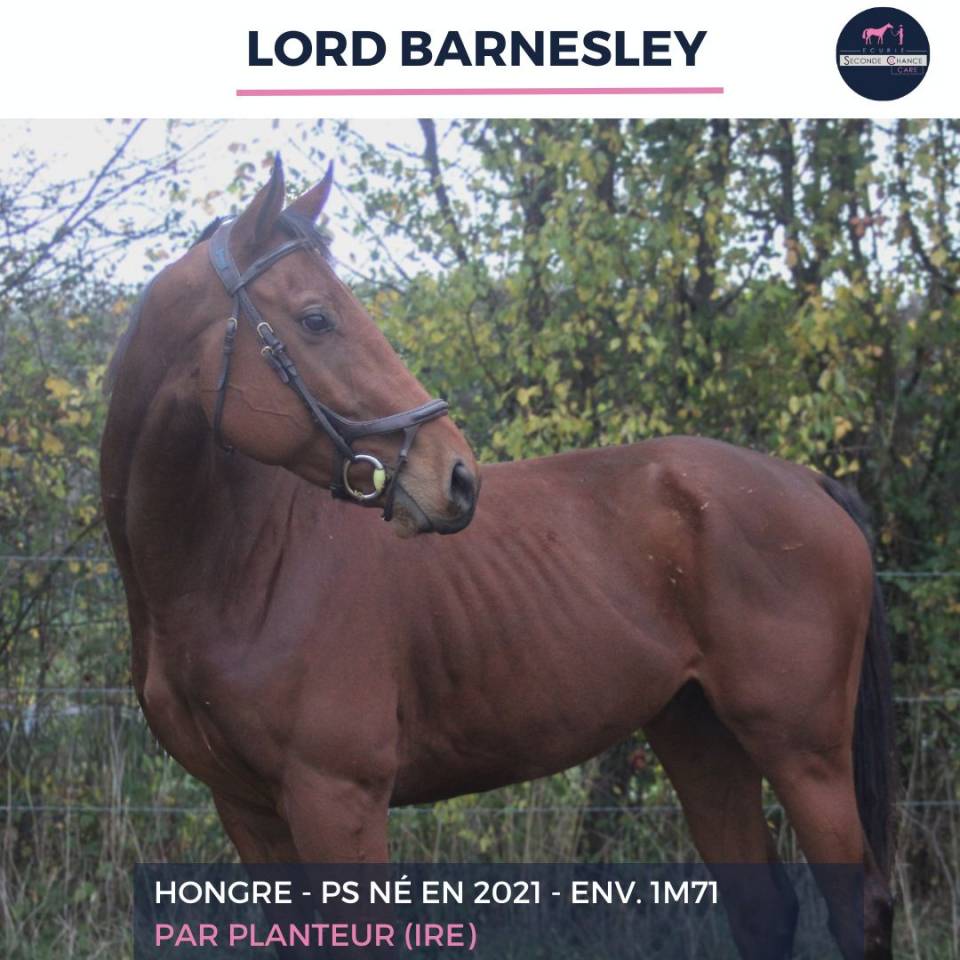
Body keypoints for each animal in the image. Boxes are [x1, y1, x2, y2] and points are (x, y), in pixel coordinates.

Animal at [101, 159, 895, 959]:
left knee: (853, 909)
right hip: (700, 738)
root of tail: (807, 482)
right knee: (762, 908)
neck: (240, 573)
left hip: (804, 753)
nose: (457, 476)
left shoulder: (337, 800)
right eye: (317, 318)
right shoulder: (247, 809)